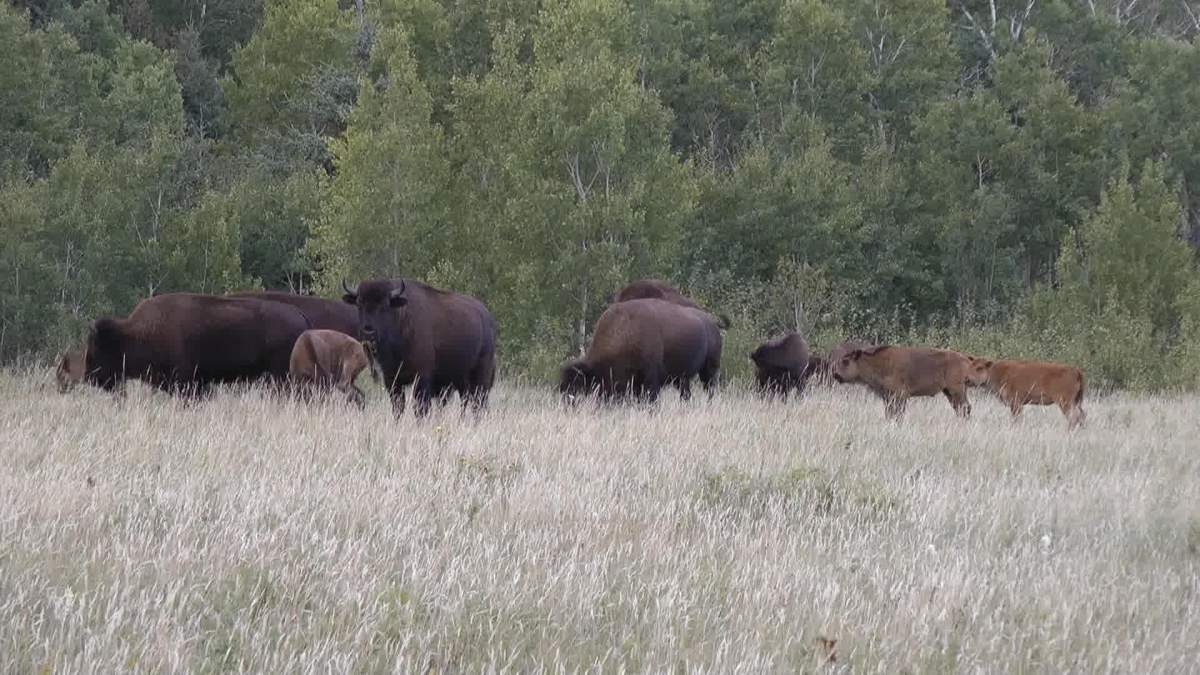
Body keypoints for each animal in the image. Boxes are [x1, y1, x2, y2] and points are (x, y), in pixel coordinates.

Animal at [342, 278, 496, 417]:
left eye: (384, 305)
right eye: (359, 303)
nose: (368, 331)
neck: (402, 320)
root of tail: (487, 317)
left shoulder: (421, 379)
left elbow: (421, 409)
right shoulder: (392, 380)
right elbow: (398, 407)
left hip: (480, 376)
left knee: (478, 404)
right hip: (461, 382)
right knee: (466, 402)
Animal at [560, 298, 722, 403]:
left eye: (578, 389)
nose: (567, 406)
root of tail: (712, 323)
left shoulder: (651, 380)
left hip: (709, 370)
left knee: (709, 389)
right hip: (682, 378)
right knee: (686, 394)